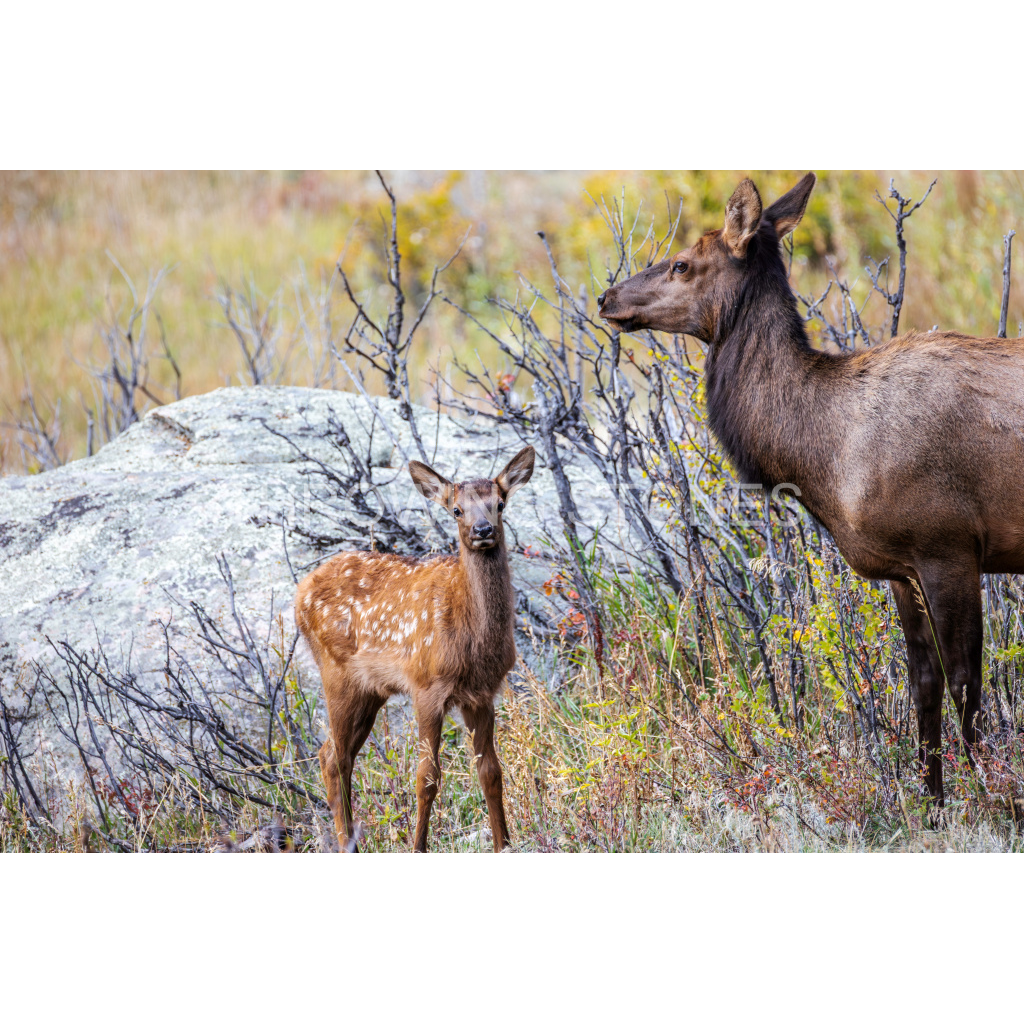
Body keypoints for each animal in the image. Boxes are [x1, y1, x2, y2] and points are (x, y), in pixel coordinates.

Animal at [294, 446, 535, 852]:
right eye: (456, 509)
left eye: (500, 504)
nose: (483, 530)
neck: (472, 636)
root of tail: (299, 592)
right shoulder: (427, 686)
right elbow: (427, 777)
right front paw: (418, 847)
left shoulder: (483, 693)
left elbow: (491, 772)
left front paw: (503, 845)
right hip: (336, 673)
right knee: (332, 757)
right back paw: (346, 844)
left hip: (370, 690)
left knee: (338, 755)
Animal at [598, 172, 1024, 808]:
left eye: (681, 263)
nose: (606, 298)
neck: (826, 458)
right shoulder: (902, 569)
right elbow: (922, 688)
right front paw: (931, 807)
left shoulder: (948, 548)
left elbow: (967, 687)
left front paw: (989, 799)